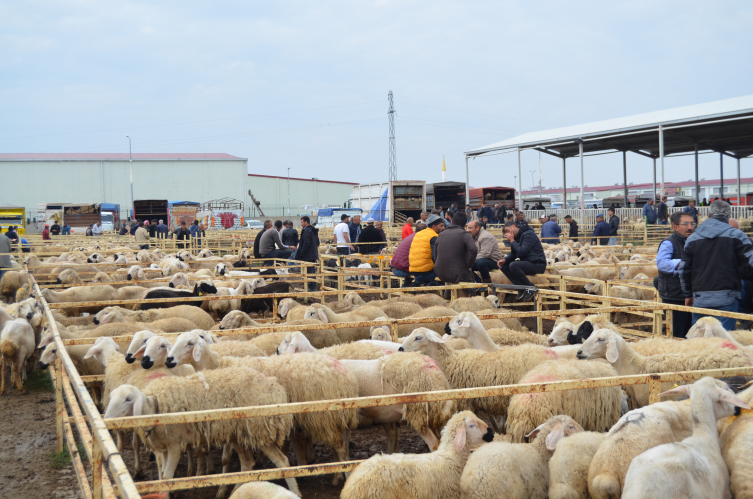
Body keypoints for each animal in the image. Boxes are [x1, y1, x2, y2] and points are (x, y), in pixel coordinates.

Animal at [104, 368, 298, 496]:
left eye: (128, 399)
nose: (106, 418)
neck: (155, 407)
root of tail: (276, 387)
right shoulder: (164, 447)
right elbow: (162, 477)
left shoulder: (174, 445)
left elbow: (167, 477)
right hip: (239, 434)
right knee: (247, 465)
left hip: (260, 431)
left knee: (282, 461)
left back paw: (295, 490)